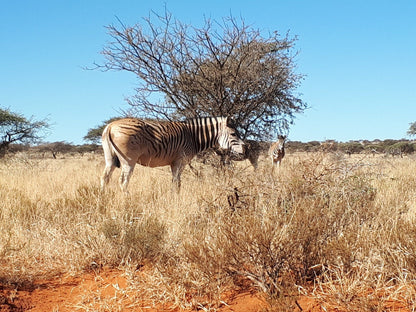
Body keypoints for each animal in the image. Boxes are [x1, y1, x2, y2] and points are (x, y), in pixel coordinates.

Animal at [100, 116, 244, 191]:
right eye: (234, 134)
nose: (244, 150)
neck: (193, 137)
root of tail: (110, 126)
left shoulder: (174, 163)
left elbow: (175, 182)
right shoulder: (180, 161)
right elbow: (177, 183)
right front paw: (176, 199)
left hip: (110, 158)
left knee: (105, 177)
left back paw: (104, 198)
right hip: (129, 159)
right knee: (123, 181)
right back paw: (127, 199)